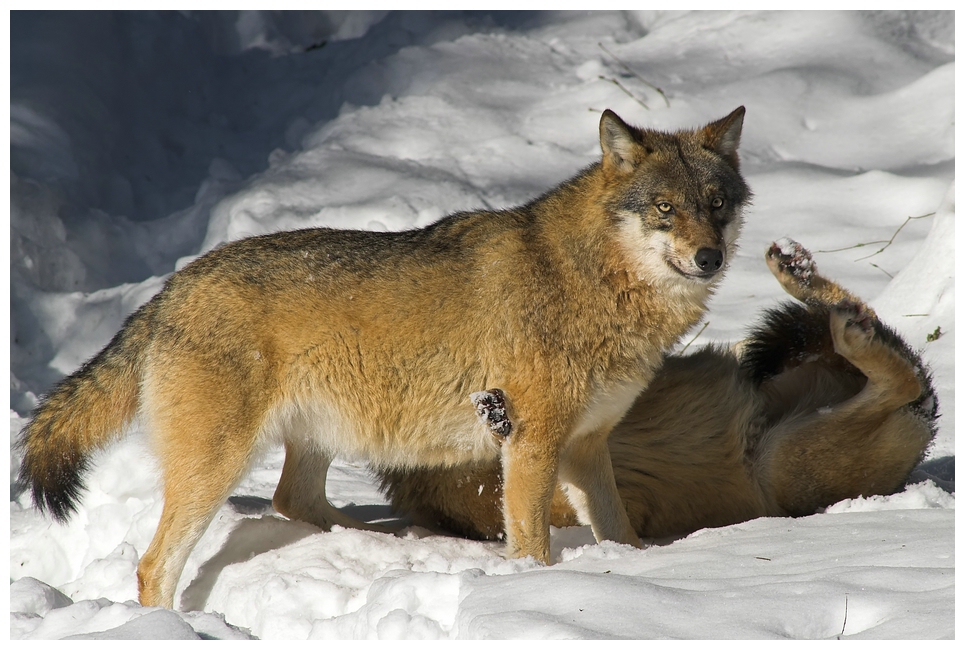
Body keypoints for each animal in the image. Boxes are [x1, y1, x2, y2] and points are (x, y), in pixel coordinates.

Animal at [18, 106, 748, 608]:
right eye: (664, 208)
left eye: (715, 205)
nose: (709, 257)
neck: (592, 278)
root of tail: (171, 289)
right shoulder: (531, 442)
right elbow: (532, 542)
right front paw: (532, 587)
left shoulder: (587, 447)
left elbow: (619, 530)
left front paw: (641, 569)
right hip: (215, 468)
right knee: (155, 565)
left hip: (312, 439)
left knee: (292, 500)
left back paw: (384, 543)